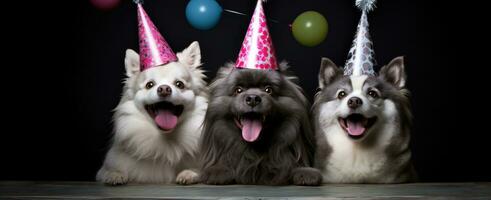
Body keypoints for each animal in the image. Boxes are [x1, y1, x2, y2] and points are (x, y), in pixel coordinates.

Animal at [97, 41, 209, 185]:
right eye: (149, 85)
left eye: (179, 84)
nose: (164, 89)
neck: (166, 139)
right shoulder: (104, 169)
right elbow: (109, 171)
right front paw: (115, 175)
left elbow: (201, 171)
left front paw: (189, 173)